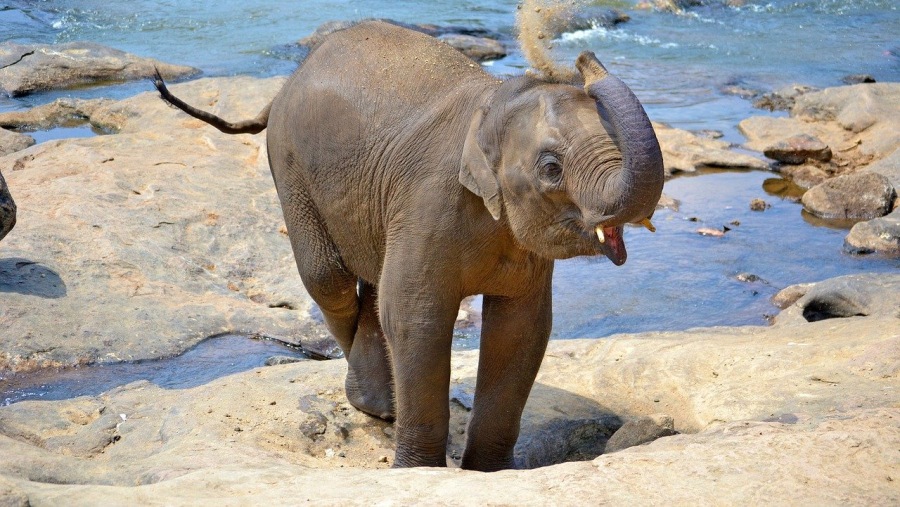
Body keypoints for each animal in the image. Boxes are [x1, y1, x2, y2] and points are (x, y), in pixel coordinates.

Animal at [153, 19, 660, 472]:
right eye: (552, 168)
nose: (583, 59)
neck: (492, 103)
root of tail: (285, 84)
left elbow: (521, 328)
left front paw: (490, 474)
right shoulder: (428, 201)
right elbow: (417, 317)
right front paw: (419, 470)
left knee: (372, 282)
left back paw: (382, 405)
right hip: (291, 168)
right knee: (329, 280)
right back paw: (376, 405)